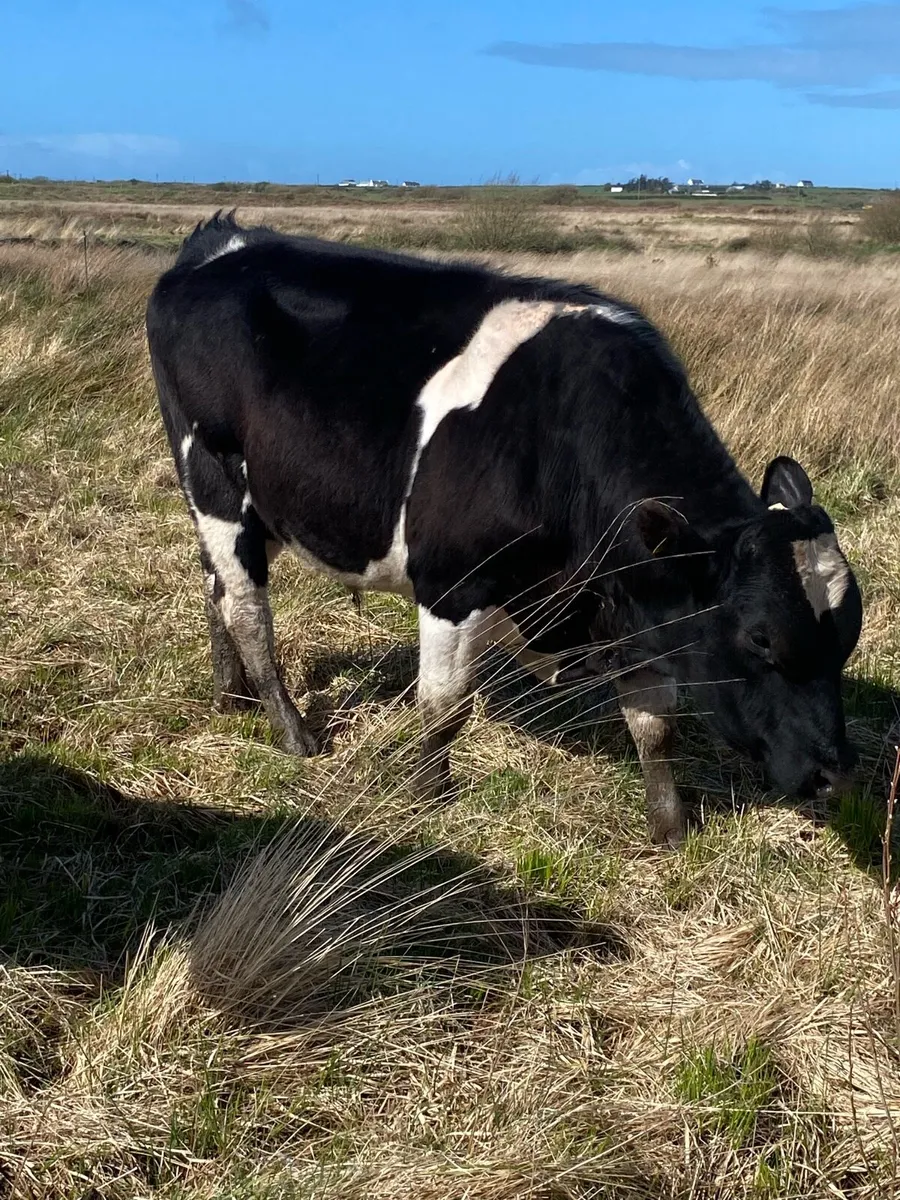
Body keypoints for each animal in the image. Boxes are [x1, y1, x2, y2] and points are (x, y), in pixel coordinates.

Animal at [146, 212, 863, 846]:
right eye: (761, 638)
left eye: (848, 640)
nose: (834, 775)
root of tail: (220, 243)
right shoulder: (451, 583)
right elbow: (445, 707)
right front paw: (429, 794)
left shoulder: (634, 604)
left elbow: (654, 726)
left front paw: (670, 829)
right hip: (212, 478)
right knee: (246, 609)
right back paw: (292, 731)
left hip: (253, 505)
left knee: (215, 588)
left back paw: (232, 697)